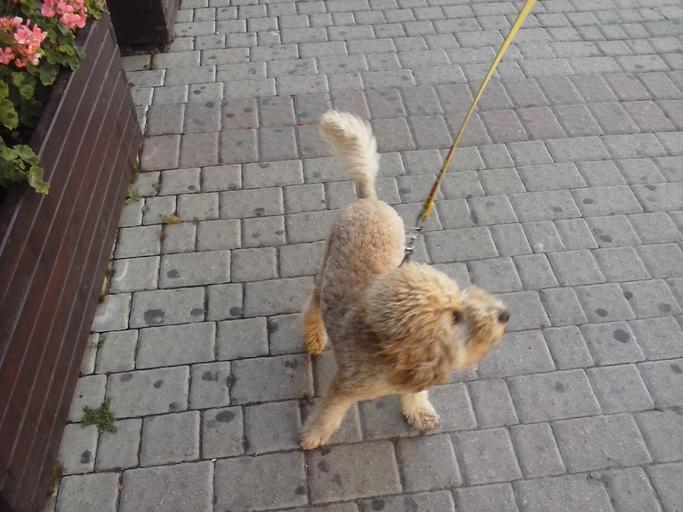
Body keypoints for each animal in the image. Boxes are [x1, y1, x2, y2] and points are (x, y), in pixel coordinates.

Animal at [299, 111, 510, 450]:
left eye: (461, 297)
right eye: (455, 317)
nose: (504, 314)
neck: (386, 352)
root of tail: (368, 198)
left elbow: (413, 395)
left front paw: (420, 413)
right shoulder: (344, 386)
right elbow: (328, 413)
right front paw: (313, 435)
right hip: (326, 264)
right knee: (312, 307)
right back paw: (314, 338)